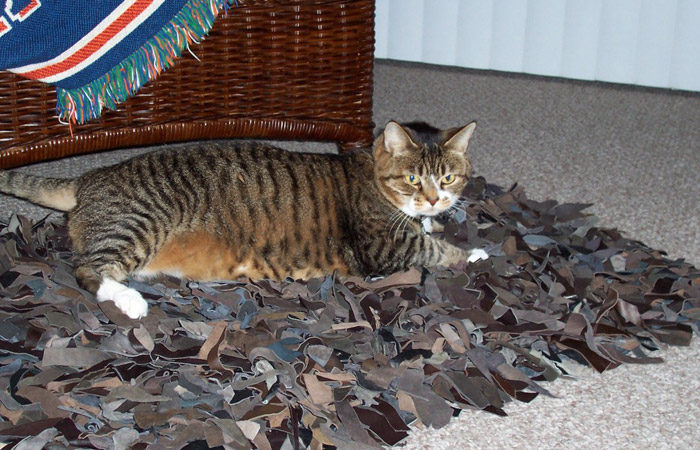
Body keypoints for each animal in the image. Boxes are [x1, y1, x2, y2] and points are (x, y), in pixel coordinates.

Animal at [0, 121, 486, 318]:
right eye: (412, 178)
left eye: (448, 176)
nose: (434, 199)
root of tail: (89, 178)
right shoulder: (382, 246)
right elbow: (434, 248)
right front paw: (474, 253)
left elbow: (431, 233)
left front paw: (443, 223)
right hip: (138, 223)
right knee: (88, 269)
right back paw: (131, 301)